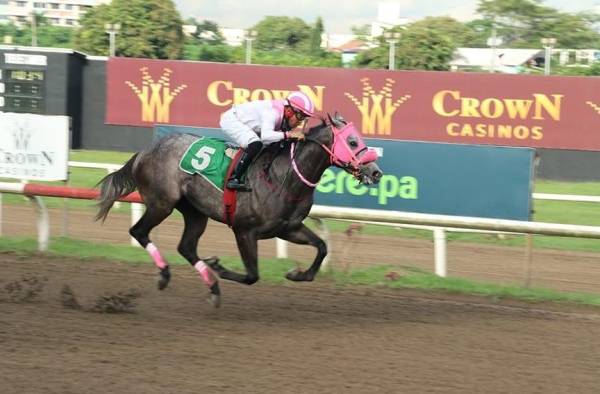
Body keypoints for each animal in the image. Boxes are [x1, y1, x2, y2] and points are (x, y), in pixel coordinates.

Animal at [95, 112, 382, 306]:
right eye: (353, 142)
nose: (376, 172)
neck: (282, 176)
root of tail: (144, 152)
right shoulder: (244, 230)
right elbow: (252, 275)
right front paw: (220, 267)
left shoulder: (288, 228)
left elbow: (321, 247)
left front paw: (297, 274)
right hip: (162, 203)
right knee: (139, 231)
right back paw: (166, 274)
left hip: (195, 212)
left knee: (186, 247)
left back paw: (212, 287)